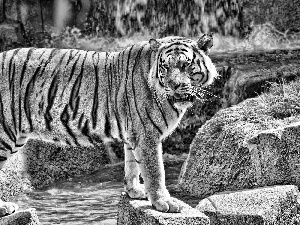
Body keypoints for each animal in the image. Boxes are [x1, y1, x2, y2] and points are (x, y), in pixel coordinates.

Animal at [0, 33, 217, 214]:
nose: (174, 85)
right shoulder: (146, 135)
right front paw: (165, 202)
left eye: (185, 65)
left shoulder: (134, 135)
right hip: (4, 133)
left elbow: (132, 165)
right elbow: (155, 171)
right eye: (165, 66)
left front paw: (134, 191)